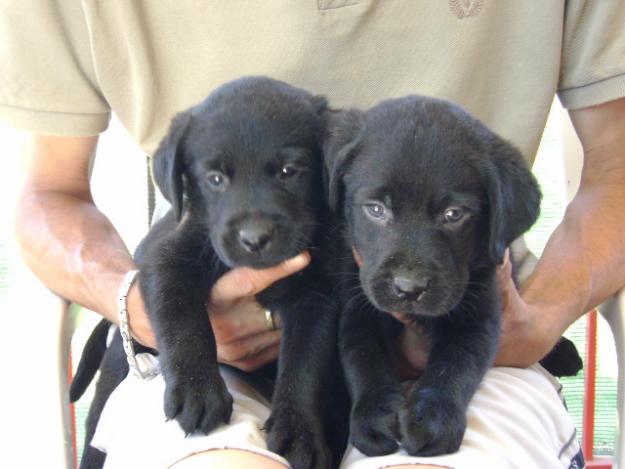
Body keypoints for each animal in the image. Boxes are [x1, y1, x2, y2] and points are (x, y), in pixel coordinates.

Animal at [74, 75, 346, 466]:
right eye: (215, 178)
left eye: (289, 172)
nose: (254, 239)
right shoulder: (168, 261)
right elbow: (184, 323)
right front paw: (197, 392)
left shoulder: (318, 296)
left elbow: (305, 365)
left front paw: (300, 432)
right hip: (118, 369)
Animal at [326, 96, 580, 458]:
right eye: (375, 209)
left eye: (453, 214)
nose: (409, 288)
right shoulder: (359, 301)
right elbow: (362, 358)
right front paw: (373, 414)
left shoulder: (480, 309)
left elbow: (457, 363)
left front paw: (433, 418)